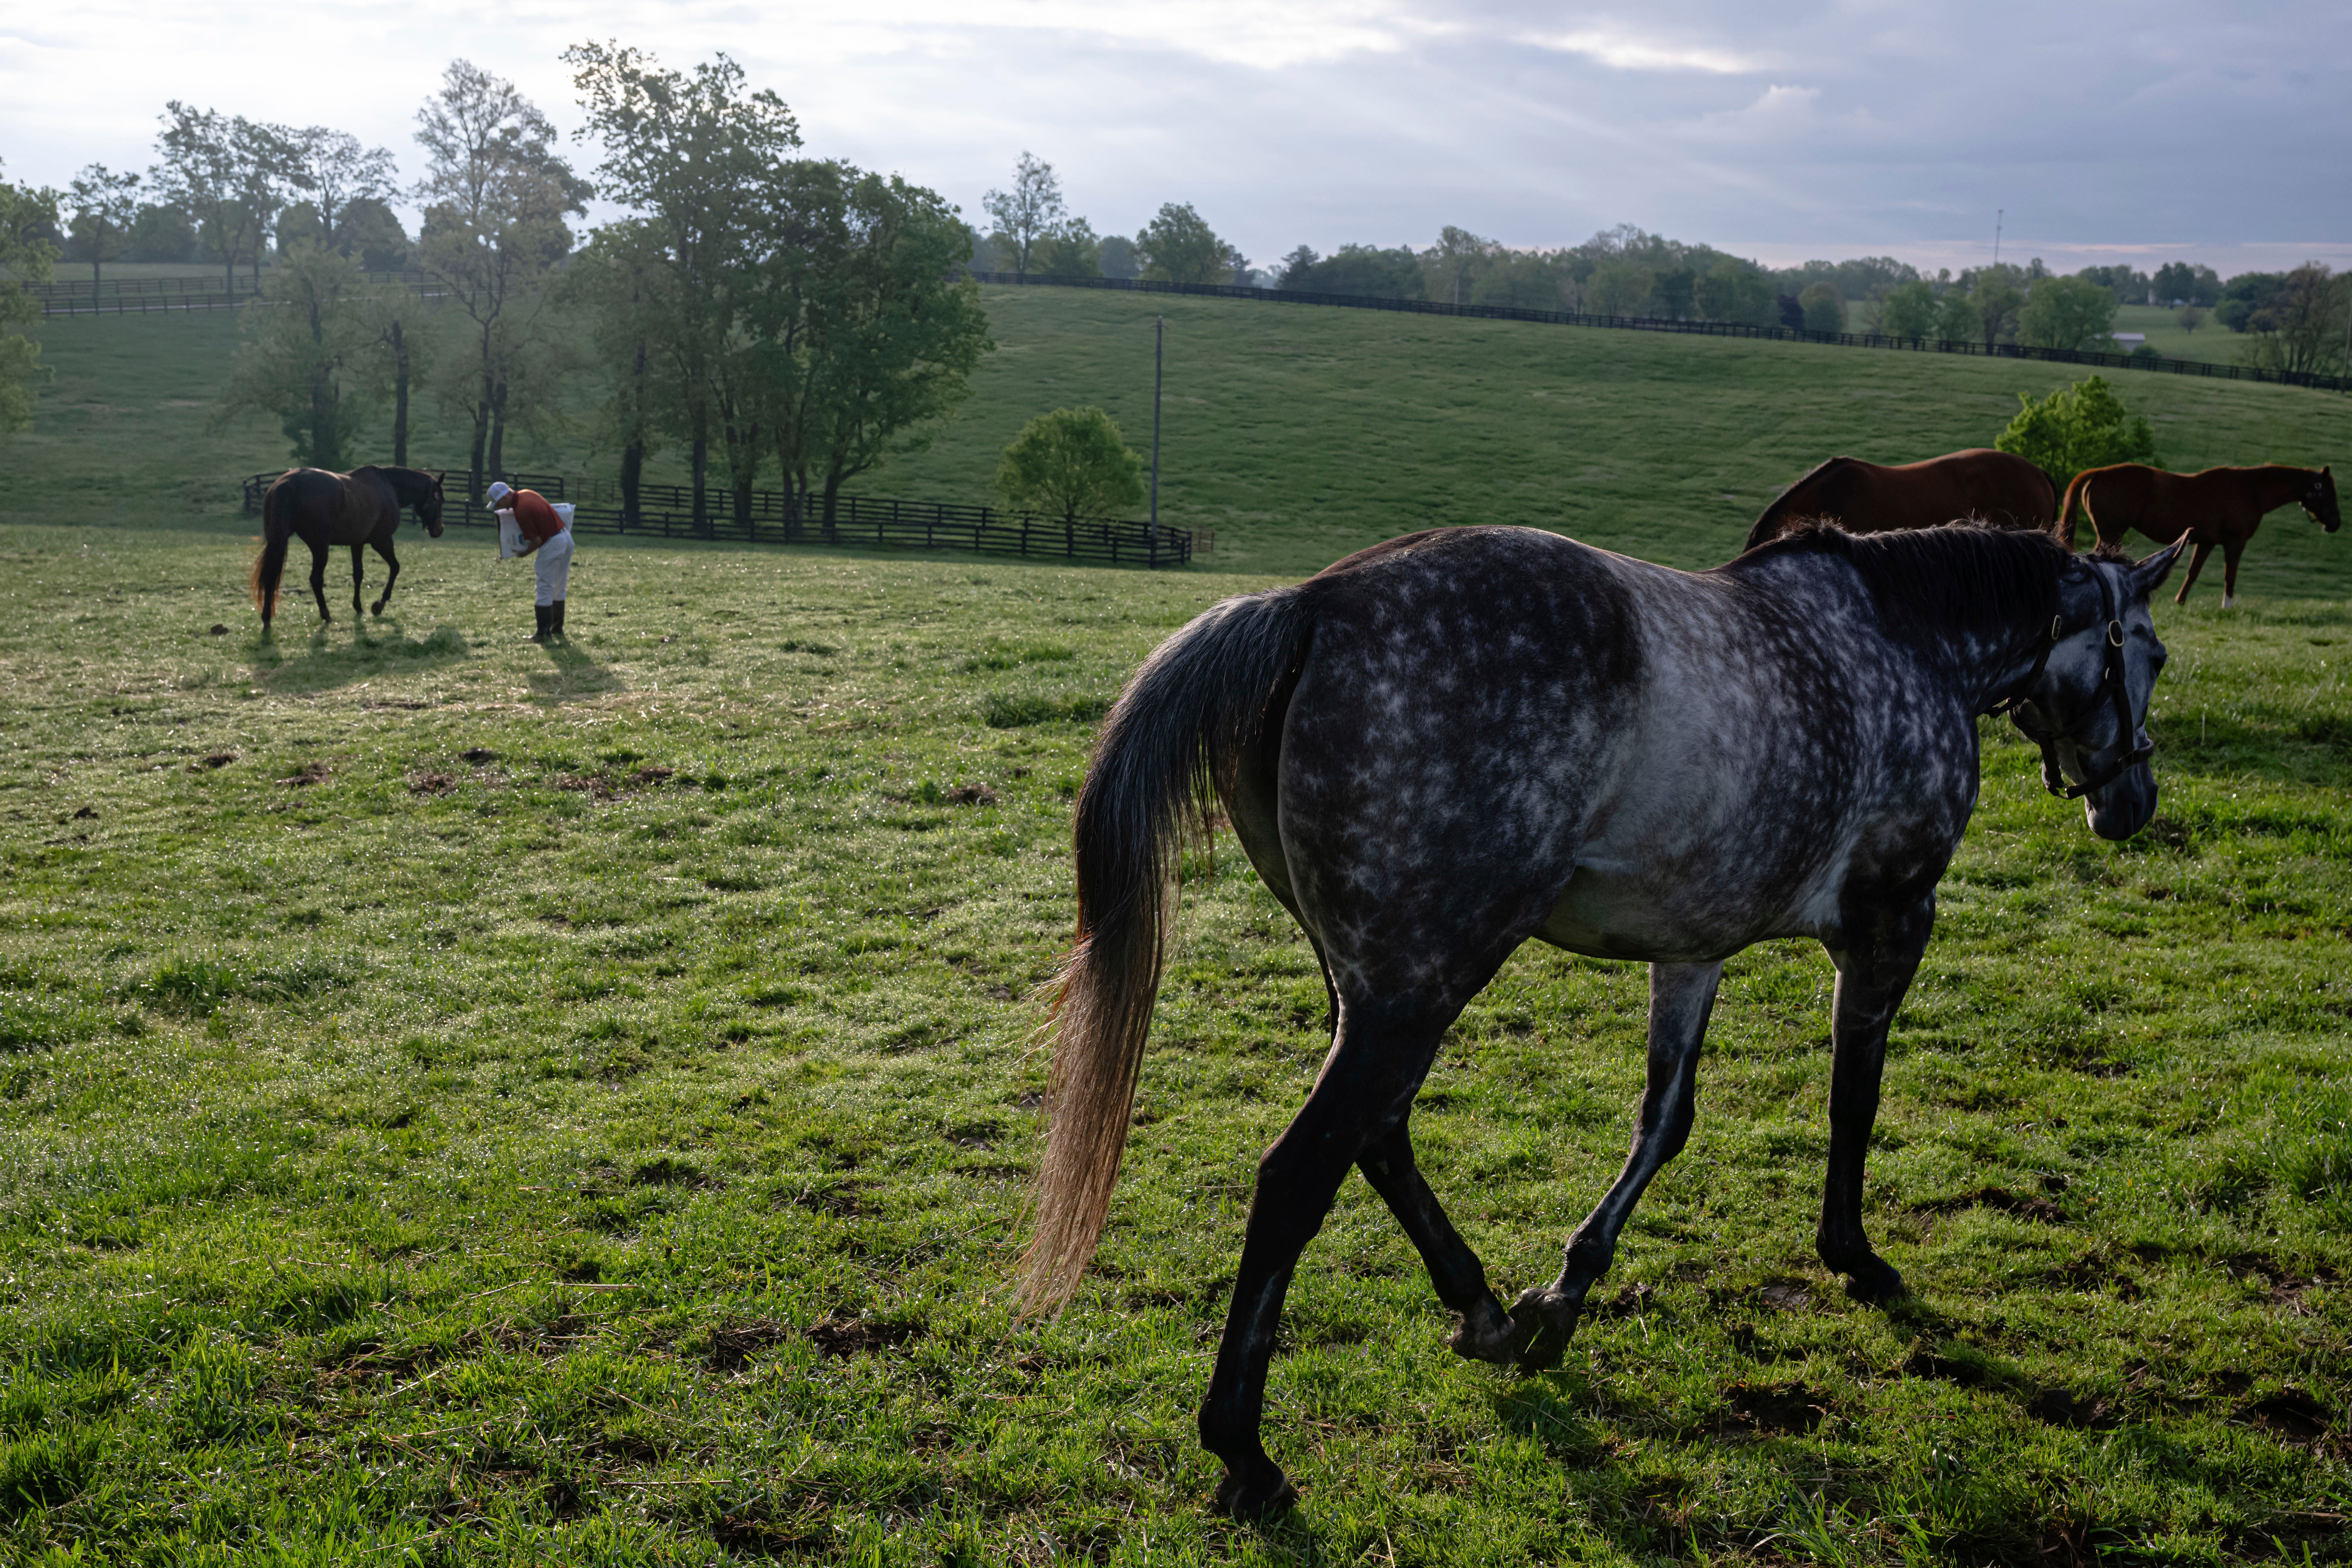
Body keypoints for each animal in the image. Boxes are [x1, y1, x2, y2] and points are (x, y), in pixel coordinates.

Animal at [250, 466, 446, 633]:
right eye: (440, 501)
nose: (440, 530)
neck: (388, 486)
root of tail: (289, 482)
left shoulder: (357, 543)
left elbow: (358, 574)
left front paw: (358, 607)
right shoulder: (382, 541)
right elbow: (395, 568)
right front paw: (379, 605)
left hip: (278, 542)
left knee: (270, 577)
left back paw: (266, 618)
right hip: (320, 547)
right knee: (316, 579)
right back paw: (326, 615)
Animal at [1019, 521, 2184, 1519]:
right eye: (2153, 654)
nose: (2128, 801)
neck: (1902, 643)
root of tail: (1310, 604)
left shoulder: (1695, 948)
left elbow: (1663, 1120)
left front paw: (1561, 1294)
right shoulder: (1893, 922)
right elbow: (1853, 1099)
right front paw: (1853, 1253)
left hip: (1375, 984)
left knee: (1379, 1137)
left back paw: (1483, 1310)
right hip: (1419, 986)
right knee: (1300, 1173)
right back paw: (1246, 1450)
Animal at [2059, 463, 2339, 607]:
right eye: (2328, 492)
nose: (2336, 523)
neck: (2251, 490)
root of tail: (2099, 472)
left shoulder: (2206, 542)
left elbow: (2193, 573)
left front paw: (2180, 603)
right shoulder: (2235, 542)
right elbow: (2230, 576)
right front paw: (2227, 608)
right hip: (2111, 533)